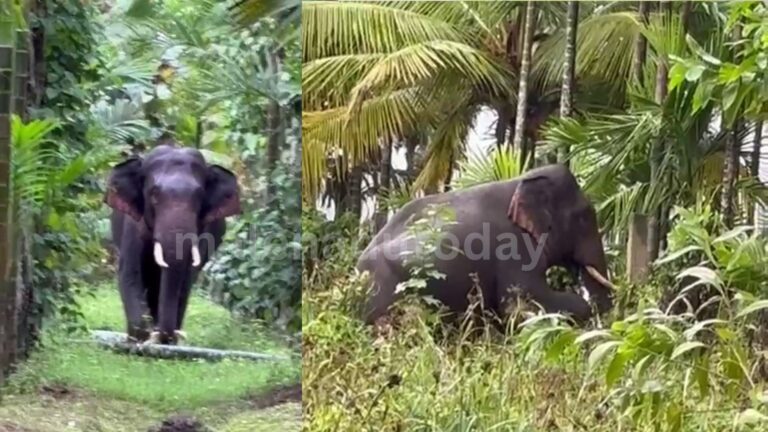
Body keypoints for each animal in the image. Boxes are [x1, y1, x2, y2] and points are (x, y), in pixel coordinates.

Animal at [104, 144, 242, 344]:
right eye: (154, 194)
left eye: (199, 196)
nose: (162, 333)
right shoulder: (134, 223)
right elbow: (130, 273)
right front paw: (141, 337)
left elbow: (185, 279)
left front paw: (164, 341)